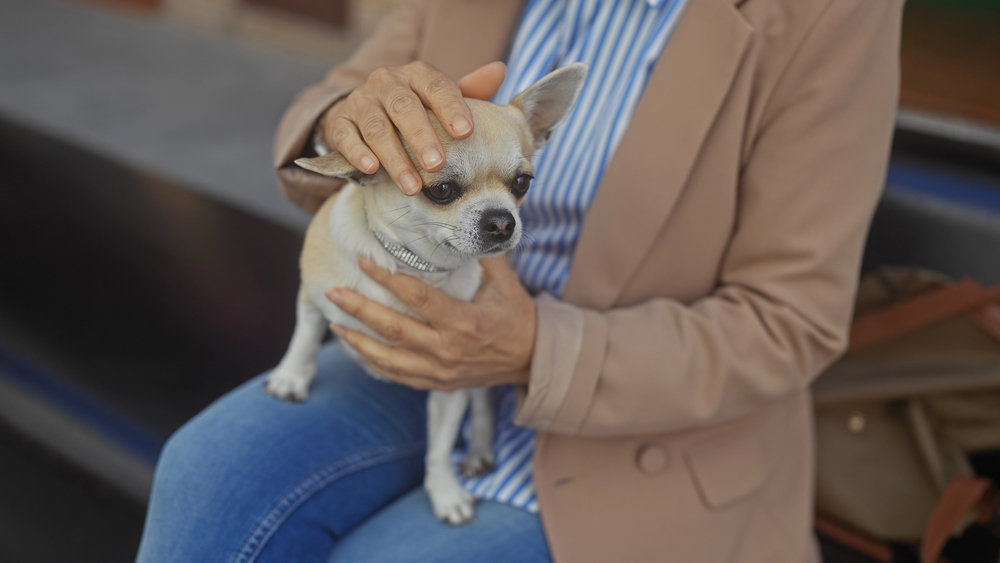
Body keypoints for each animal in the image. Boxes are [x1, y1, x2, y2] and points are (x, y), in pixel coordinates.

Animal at [266, 64, 584, 528]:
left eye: (523, 183)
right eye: (441, 191)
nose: (502, 221)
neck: (414, 265)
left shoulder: (450, 378)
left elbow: (439, 446)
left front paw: (445, 491)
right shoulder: (313, 291)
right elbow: (305, 333)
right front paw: (291, 376)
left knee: (483, 401)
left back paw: (479, 450)